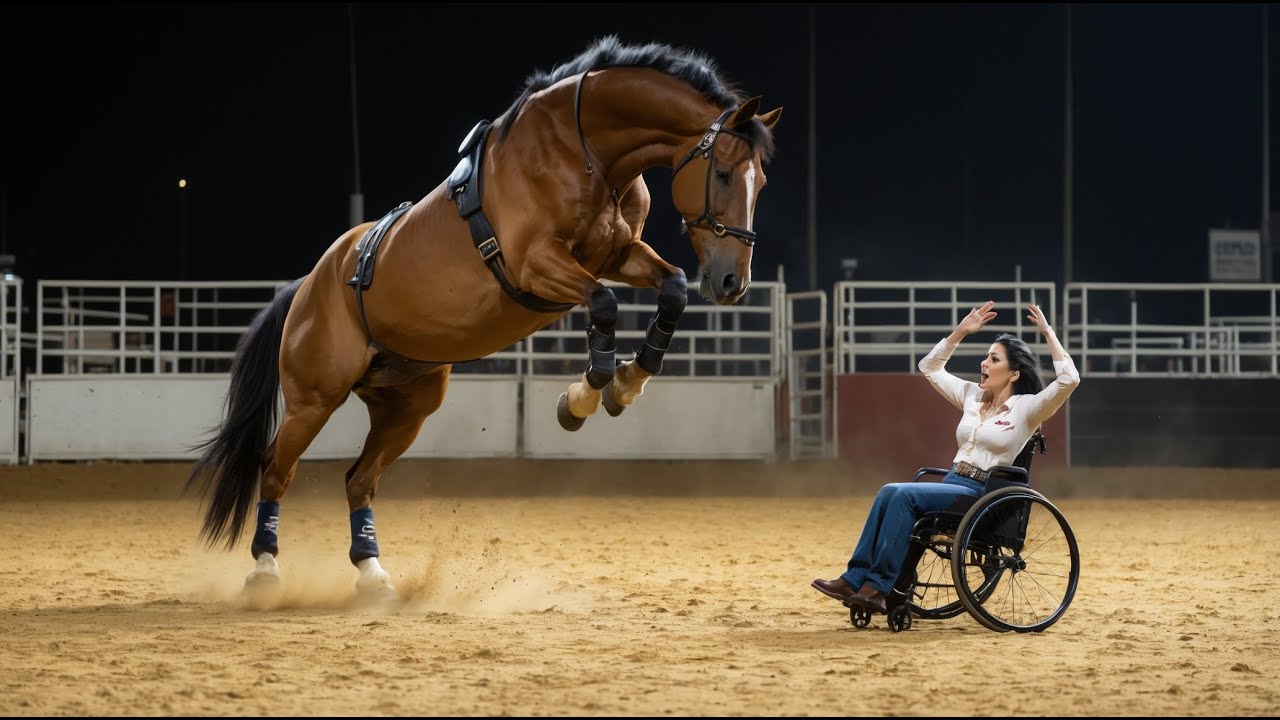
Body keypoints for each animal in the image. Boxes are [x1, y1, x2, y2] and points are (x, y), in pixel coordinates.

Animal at [184, 35, 782, 601]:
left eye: (762, 182)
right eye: (722, 173)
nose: (733, 281)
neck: (581, 150)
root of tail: (310, 286)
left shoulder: (617, 257)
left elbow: (673, 288)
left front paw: (628, 382)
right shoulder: (537, 264)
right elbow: (604, 306)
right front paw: (583, 397)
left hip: (406, 407)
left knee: (359, 480)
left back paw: (372, 575)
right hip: (314, 399)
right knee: (275, 470)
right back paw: (264, 570)